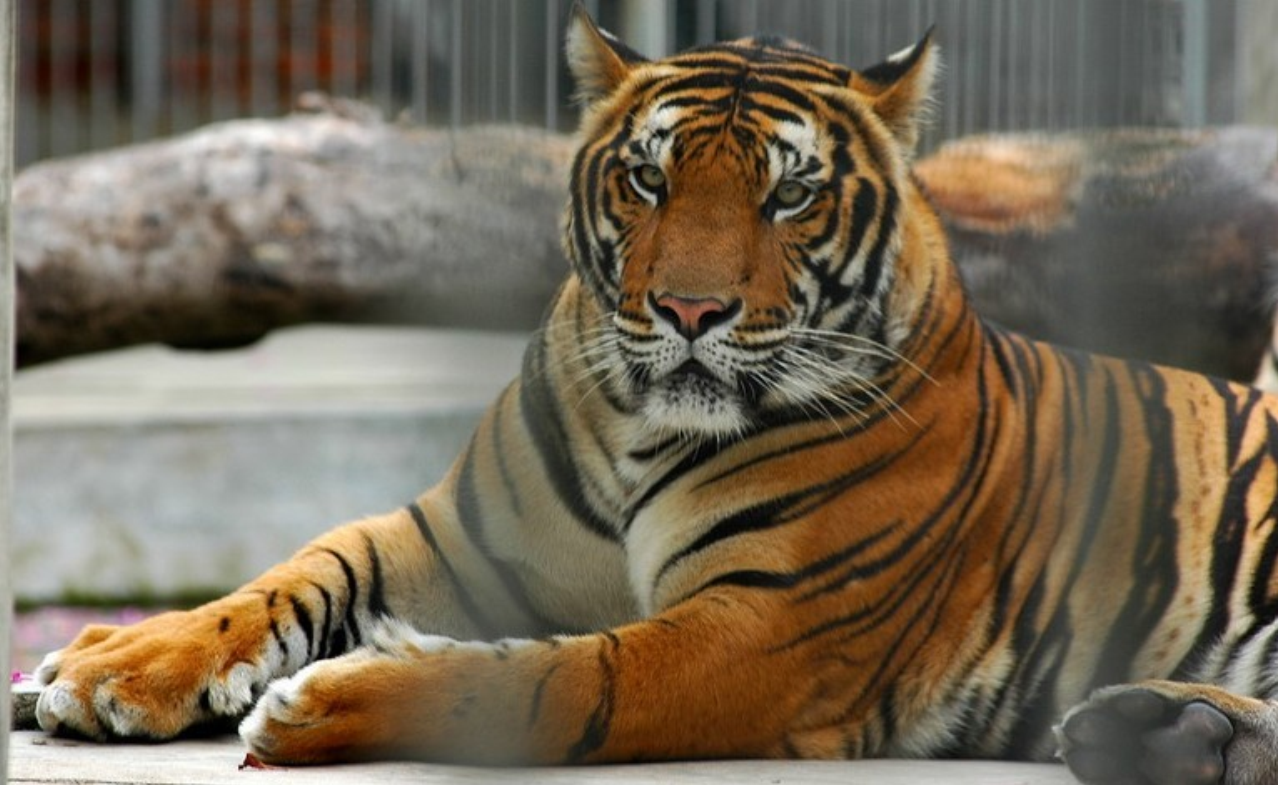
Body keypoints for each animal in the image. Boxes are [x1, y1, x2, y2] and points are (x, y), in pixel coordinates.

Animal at [31, 7, 1278, 785]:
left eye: (791, 195)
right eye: (648, 177)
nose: (689, 310)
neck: (641, 428)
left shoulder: (768, 628)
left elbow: (563, 677)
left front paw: (321, 701)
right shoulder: (450, 534)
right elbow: (294, 571)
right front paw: (106, 666)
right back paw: (1160, 728)